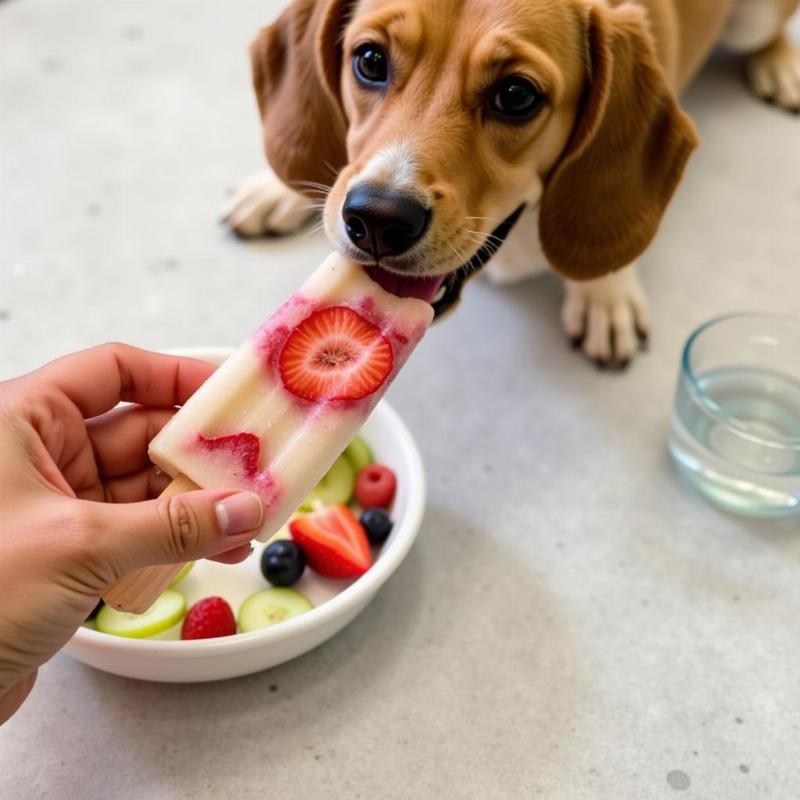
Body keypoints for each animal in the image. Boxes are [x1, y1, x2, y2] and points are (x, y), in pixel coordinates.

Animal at [223, 0, 800, 368]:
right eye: (369, 60)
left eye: (516, 95)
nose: (377, 220)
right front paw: (278, 187)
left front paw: (605, 293)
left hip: (753, 20)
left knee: (771, 35)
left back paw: (781, 66)